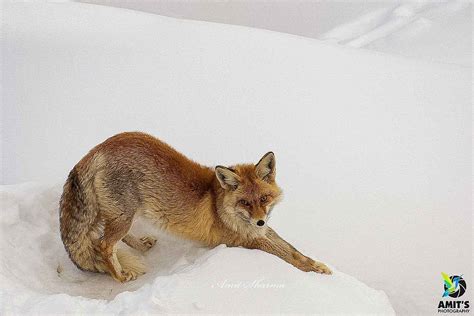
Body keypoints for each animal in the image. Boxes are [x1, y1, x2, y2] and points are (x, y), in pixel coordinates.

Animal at [59, 132, 332, 282]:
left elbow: (294, 251)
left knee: (114, 240)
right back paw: (120, 276)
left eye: (264, 199)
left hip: (126, 214)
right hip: (124, 215)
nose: (260, 221)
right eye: (245, 202)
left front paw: (317, 266)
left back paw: (141, 246)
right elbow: (285, 255)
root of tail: (95, 151)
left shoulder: (259, 232)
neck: (219, 205)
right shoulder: (245, 240)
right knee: (104, 245)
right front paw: (313, 274)